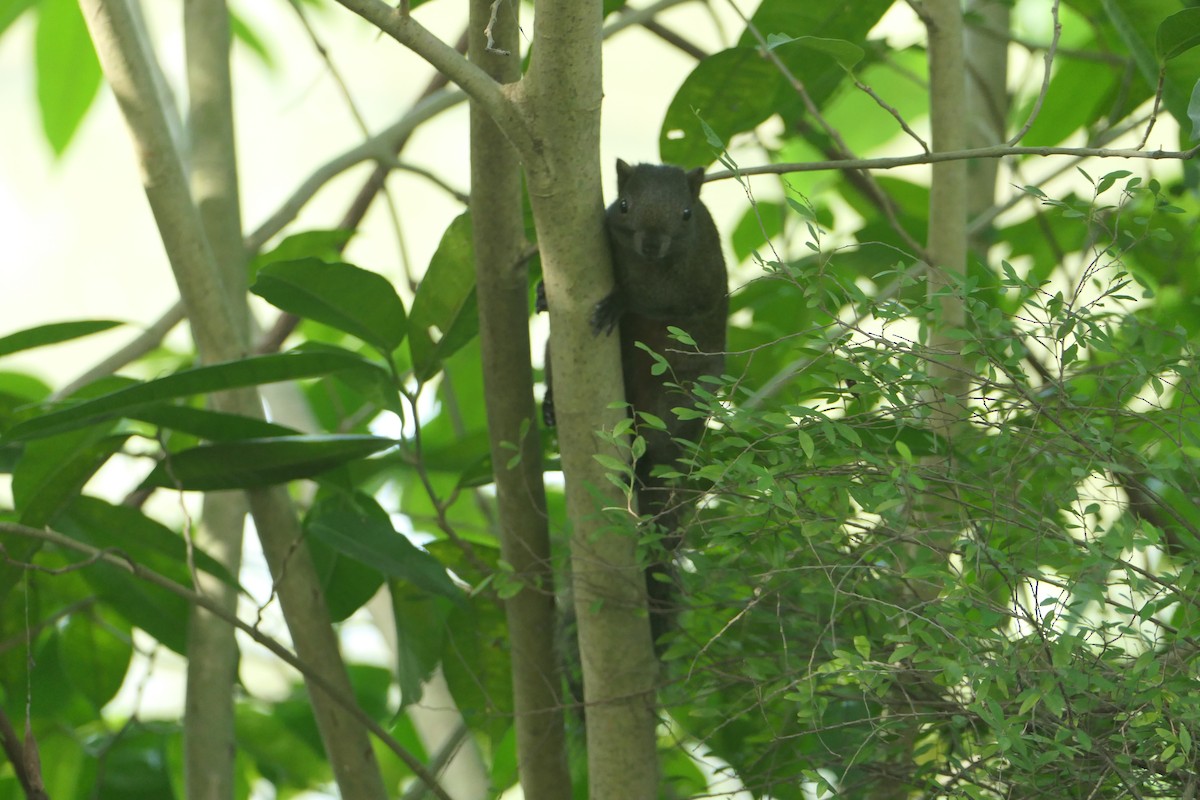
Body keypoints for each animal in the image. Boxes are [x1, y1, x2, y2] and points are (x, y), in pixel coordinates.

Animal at [541, 158, 728, 644]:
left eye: (687, 213)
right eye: (623, 205)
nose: (651, 242)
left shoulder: (694, 282)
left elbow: (664, 304)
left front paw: (619, 302)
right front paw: (543, 293)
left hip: (677, 398)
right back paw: (549, 405)